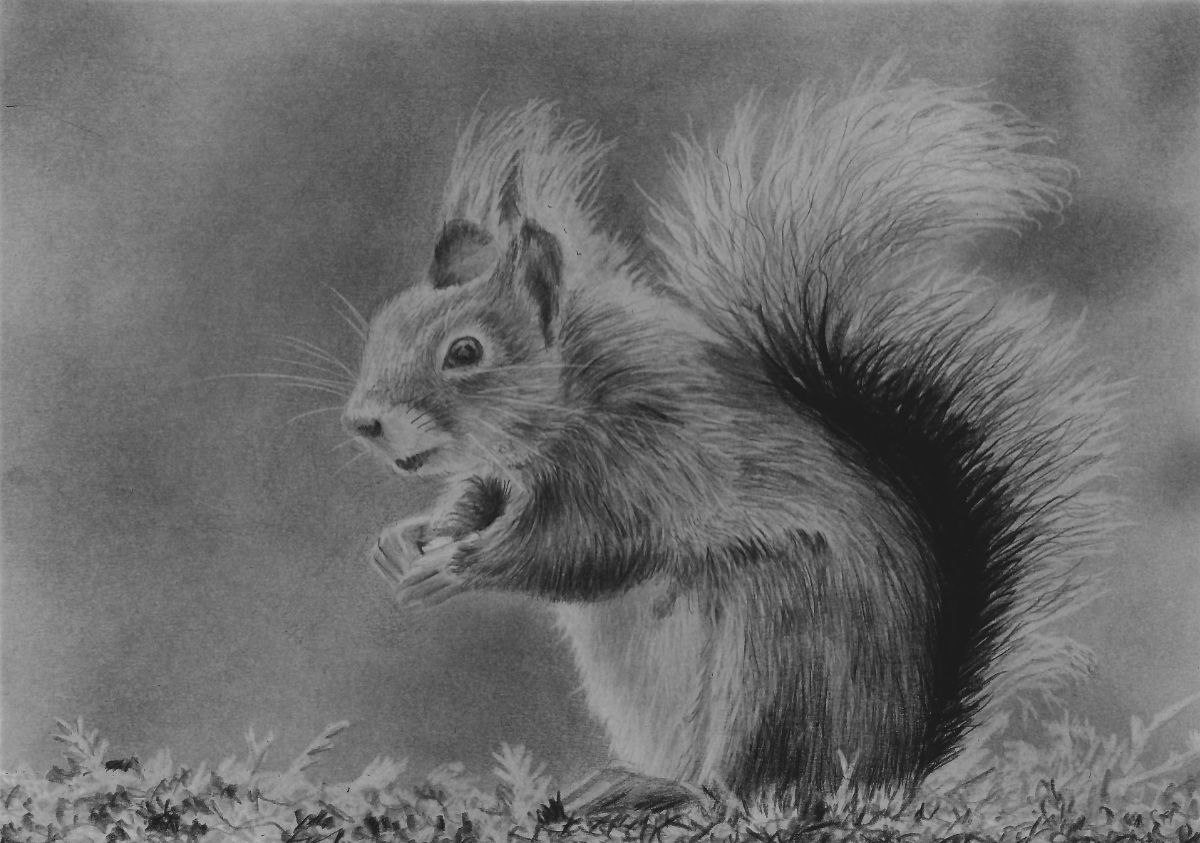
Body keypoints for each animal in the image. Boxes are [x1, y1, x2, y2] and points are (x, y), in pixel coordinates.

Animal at [340, 66, 1118, 803]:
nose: (363, 420)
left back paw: (664, 790)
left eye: (465, 352)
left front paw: (453, 566)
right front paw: (409, 537)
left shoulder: (646, 462)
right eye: (383, 326)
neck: (575, 393)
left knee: (747, 783)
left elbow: (578, 548)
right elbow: (478, 500)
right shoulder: (509, 472)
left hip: (779, 646)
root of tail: (888, 764)